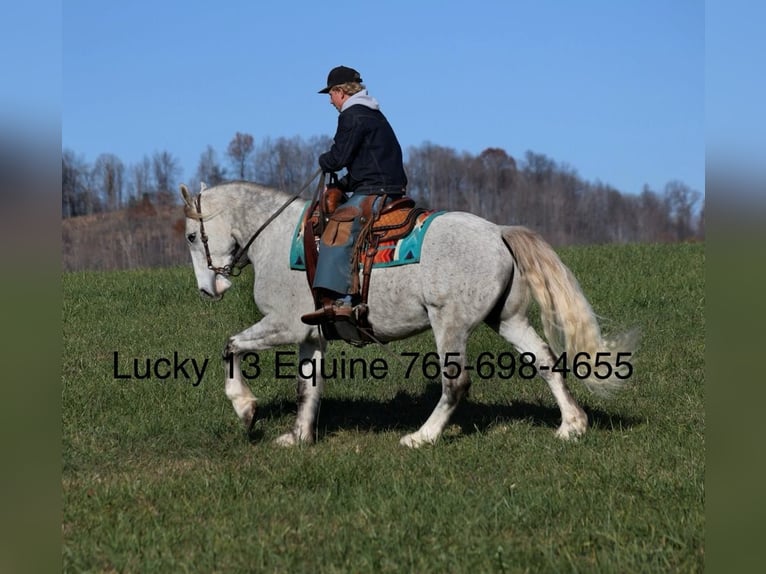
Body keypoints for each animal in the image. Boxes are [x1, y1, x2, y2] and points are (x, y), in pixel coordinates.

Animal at [178, 181, 636, 450]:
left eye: (190, 235)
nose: (207, 289)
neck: (275, 238)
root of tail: (498, 231)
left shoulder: (284, 325)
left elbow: (231, 345)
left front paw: (245, 408)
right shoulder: (311, 336)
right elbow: (308, 389)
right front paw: (299, 436)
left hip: (448, 324)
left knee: (456, 384)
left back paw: (422, 437)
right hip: (509, 320)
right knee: (545, 362)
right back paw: (572, 425)